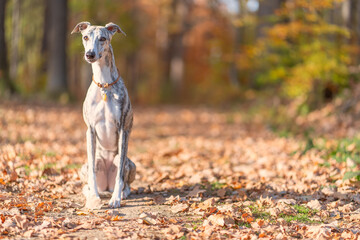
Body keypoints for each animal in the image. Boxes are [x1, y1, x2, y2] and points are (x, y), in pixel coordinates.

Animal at [71, 21, 135, 208]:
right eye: (85, 37)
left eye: (103, 38)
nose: (90, 54)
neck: (104, 85)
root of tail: (106, 185)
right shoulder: (90, 130)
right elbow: (92, 171)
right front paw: (94, 198)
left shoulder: (123, 129)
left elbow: (120, 175)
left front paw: (116, 199)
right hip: (86, 166)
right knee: (88, 179)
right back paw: (92, 192)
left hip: (130, 164)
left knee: (126, 182)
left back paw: (121, 193)